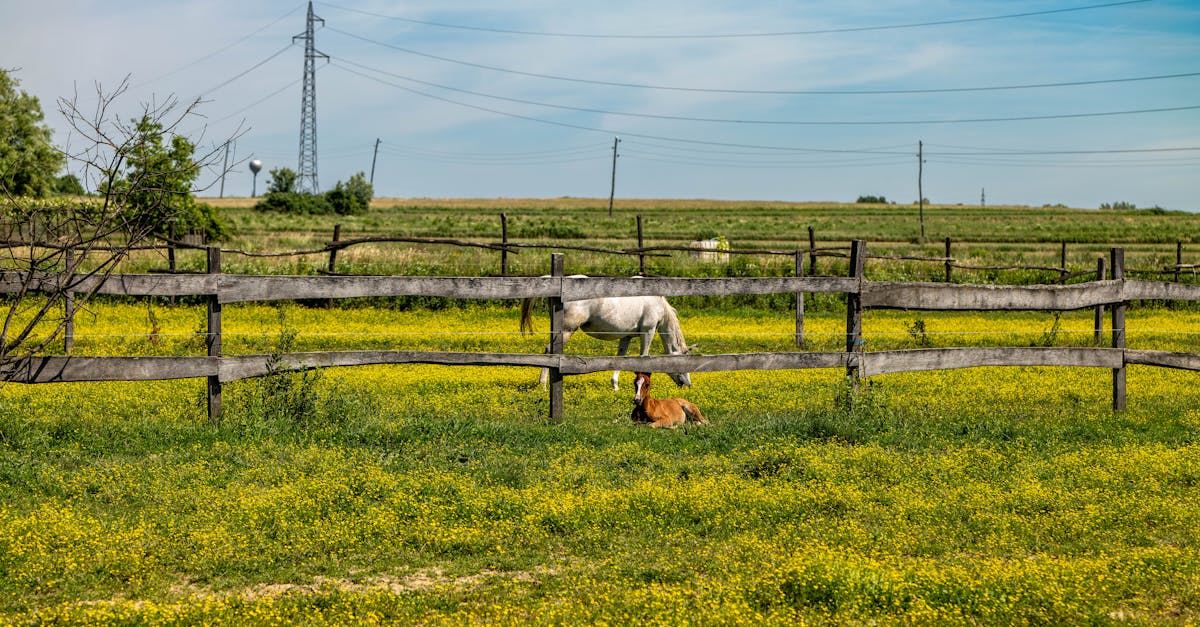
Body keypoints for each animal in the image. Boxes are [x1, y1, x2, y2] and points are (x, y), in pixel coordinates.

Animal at [520, 293, 694, 390]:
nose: (688, 384)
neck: (657, 304)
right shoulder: (648, 331)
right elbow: (643, 357)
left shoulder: (626, 336)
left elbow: (621, 358)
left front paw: (615, 385)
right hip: (567, 330)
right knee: (549, 350)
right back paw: (542, 384)